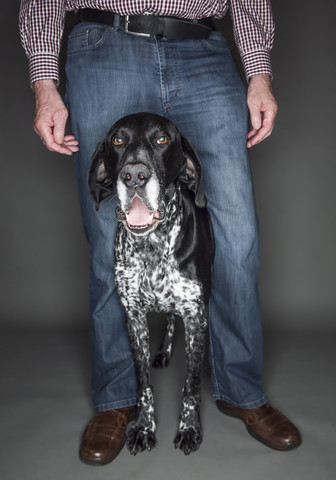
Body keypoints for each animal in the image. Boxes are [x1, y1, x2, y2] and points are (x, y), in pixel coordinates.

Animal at [88, 112, 214, 454]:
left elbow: (190, 384)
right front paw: (144, 427)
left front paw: (189, 428)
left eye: (162, 139)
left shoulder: (196, 315)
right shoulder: (133, 318)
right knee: (169, 318)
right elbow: (143, 383)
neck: (151, 248)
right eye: (118, 140)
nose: (134, 175)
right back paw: (164, 352)